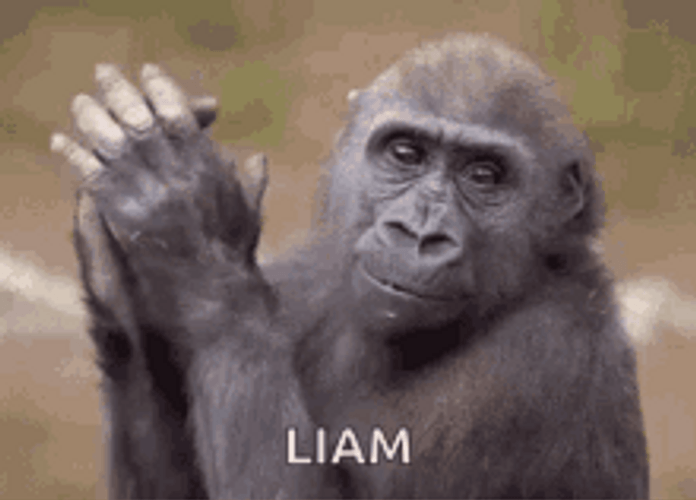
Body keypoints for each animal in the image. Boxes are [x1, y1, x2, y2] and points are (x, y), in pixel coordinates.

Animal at [52, 33, 649, 498]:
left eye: (484, 175)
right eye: (405, 153)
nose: (419, 234)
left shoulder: (547, 356)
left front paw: (192, 230)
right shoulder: (303, 281)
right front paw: (118, 284)